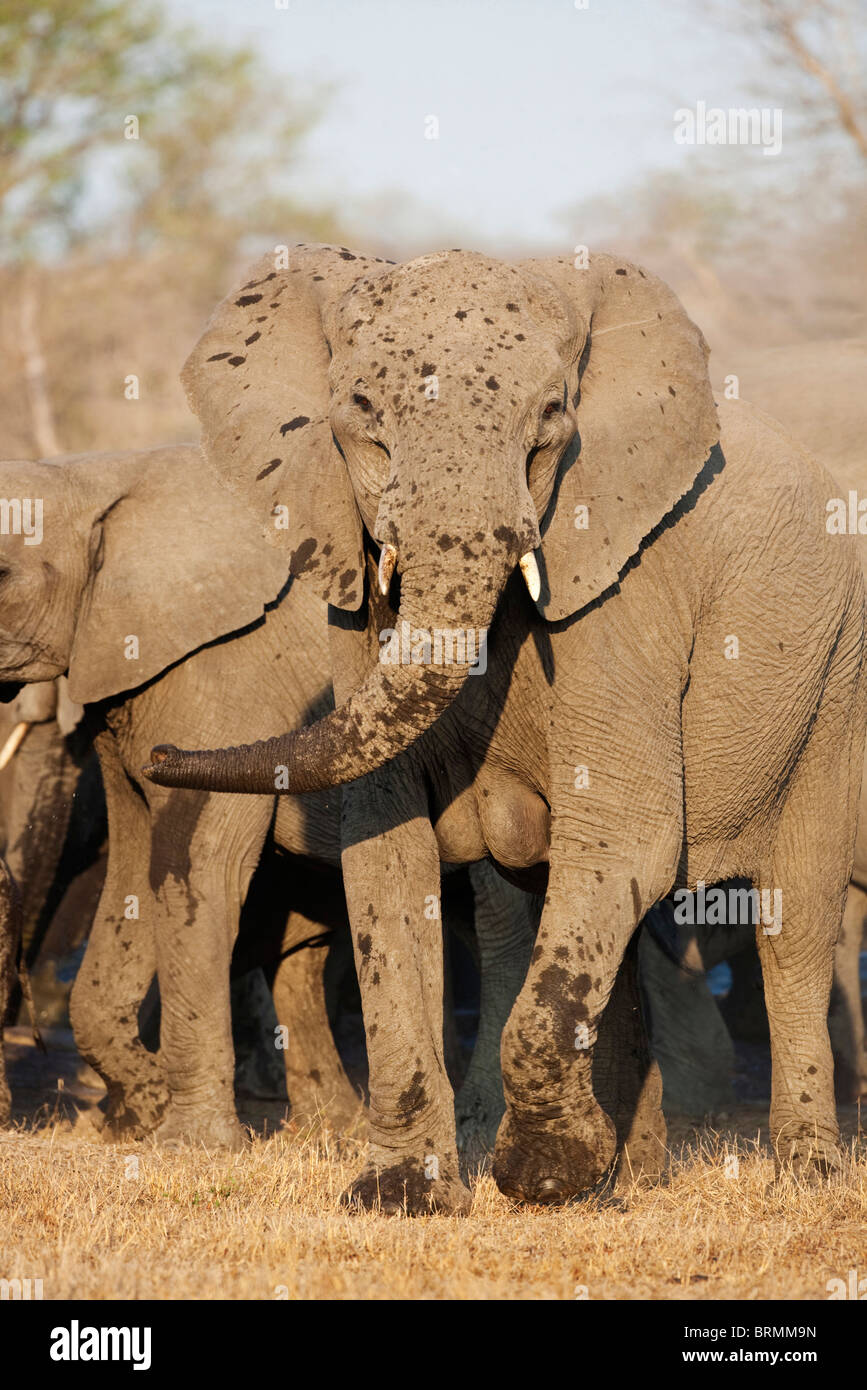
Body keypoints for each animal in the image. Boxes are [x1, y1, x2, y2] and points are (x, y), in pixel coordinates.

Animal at [145, 244, 861, 1212]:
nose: (159, 753)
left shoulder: (620, 588)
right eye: (360, 414)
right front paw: (406, 1196)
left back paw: (804, 1175)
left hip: (832, 675)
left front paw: (538, 1176)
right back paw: (625, 1181)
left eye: (551, 418)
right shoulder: (352, 602)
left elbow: (628, 834)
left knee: (795, 918)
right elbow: (389, 853)